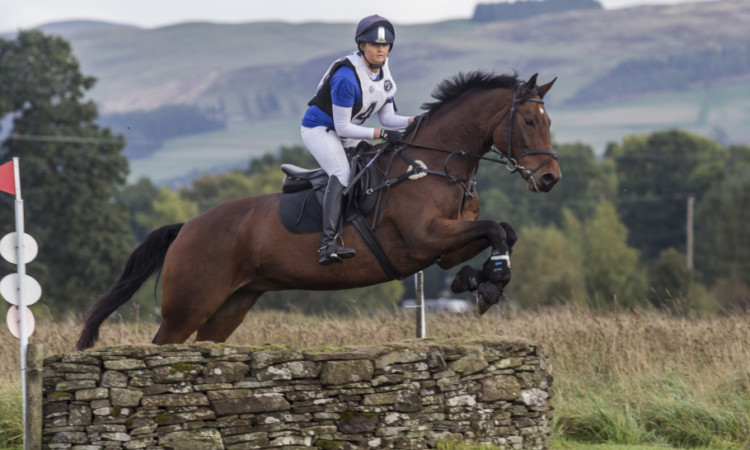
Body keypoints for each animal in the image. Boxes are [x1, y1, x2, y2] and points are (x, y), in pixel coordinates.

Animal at [76, 71, 560, 352]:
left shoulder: (444, 246)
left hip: (230, 305)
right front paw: (488, 284)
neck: (432, 163)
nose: (550, 178)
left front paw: (481, 281)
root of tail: (187, 227)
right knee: (163, 342)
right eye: (529, 121)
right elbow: (495, 229)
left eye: (548, 121)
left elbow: (503, 230)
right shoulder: (424, 240)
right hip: (188, 305)